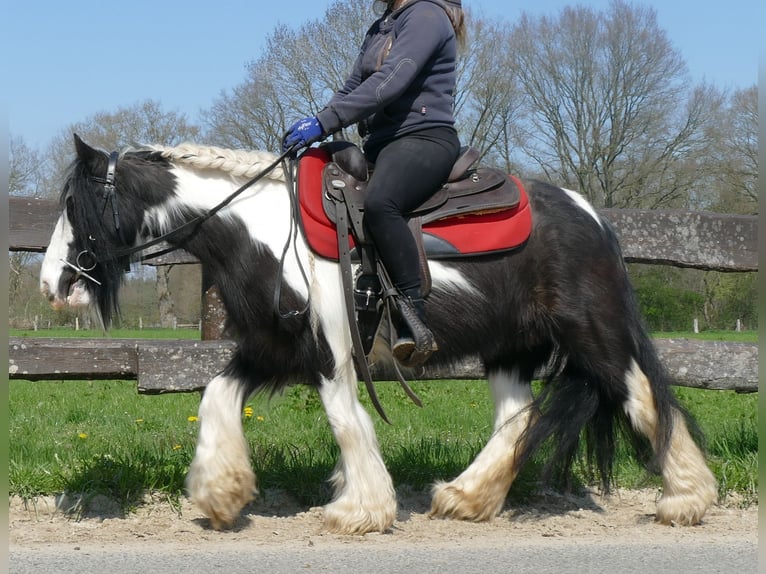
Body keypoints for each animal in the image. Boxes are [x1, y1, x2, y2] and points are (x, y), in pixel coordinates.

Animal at [40, 135, 720, 536]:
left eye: (76, 207)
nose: (52, 284)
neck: (262, 232)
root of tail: (592, 215)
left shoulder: (330, 352)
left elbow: (345, 421)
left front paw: (360, 509)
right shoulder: (273, 349)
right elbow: (214, 397)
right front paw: (220, 494)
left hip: (596, 336)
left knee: (646, 398)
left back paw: (688, 499)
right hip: (509, 349)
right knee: (518, 417)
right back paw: (466, 498)